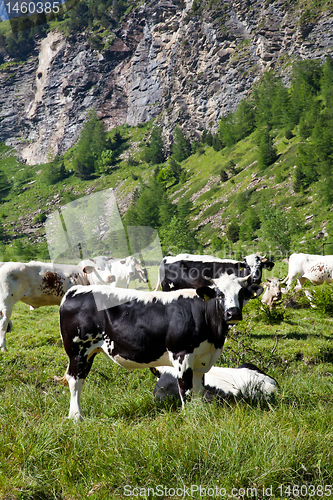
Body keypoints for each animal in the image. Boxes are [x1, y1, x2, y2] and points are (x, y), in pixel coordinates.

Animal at [59, 274, 262, 418]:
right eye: (219, 294)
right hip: (78, 350)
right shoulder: (182, 355)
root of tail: (75, 290)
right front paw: (190, 418)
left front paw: (199, 415)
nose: (233, 313)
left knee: (79, 378)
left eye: (241, 293)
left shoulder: (201, 359)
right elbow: (186, 390)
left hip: (89, 352)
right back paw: (76, 417)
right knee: (75, 380)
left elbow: (198, 390)